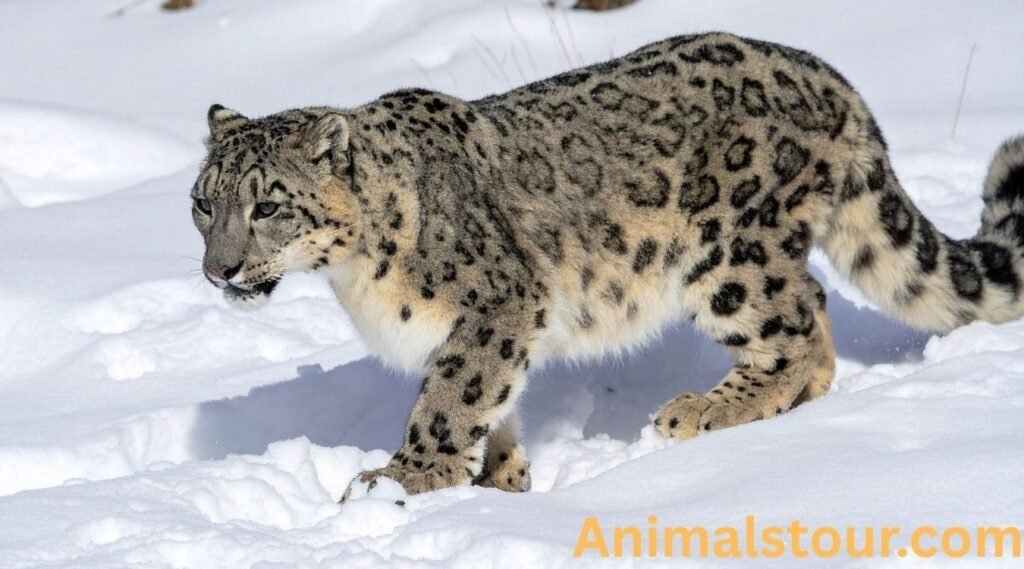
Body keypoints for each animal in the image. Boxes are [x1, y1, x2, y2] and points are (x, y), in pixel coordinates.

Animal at [189, 32, 1024, 500]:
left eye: (267, 206)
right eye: (203, 202)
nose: (219, 271)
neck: (355, 275)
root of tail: (828, 76)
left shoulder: (499, 303)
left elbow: (453, 396)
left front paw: (403, 478)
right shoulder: (483, 328)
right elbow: (492, 400)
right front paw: (502, 483)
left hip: (729, 255)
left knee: (796, 321)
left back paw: (703, 411)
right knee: (812, 317)